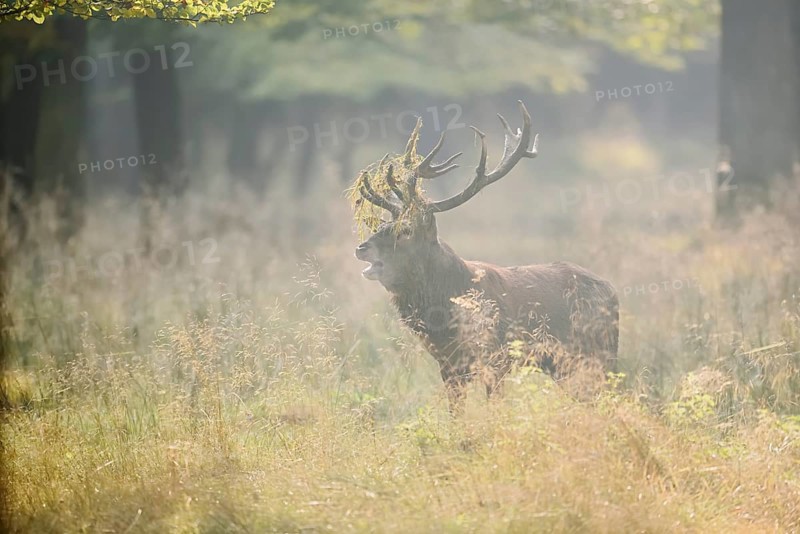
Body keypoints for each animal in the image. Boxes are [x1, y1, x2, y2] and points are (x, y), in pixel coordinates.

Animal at [352, 101, 618, 413]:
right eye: (381, 225)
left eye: (405, 230)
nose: (361, 247)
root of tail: (613, 293)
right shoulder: (449, 365)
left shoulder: (497, 358)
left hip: (598, 353)